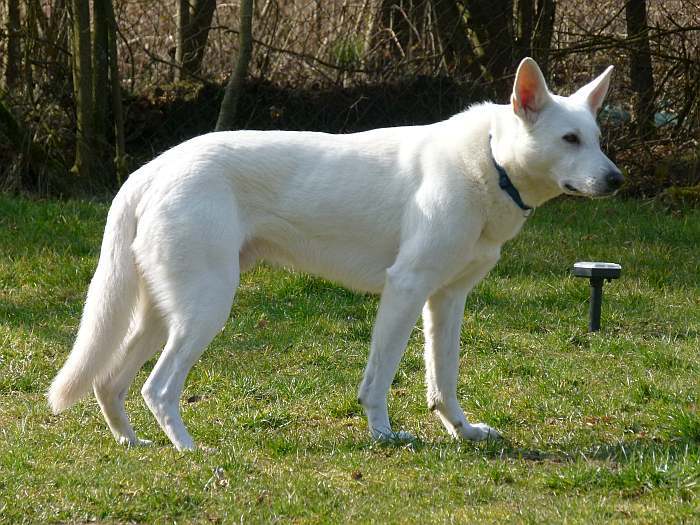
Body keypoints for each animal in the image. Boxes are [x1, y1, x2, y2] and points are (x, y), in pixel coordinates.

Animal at [47, 58, 624, 450]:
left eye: (596, 138)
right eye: (569, 139)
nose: (617, 180)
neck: (491, 161)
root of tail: (151, 170)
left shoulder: (446, 301)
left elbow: (444, 380)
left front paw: (462, 432)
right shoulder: (405, 290)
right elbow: (380, 378)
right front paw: (384, 435)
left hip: (163, 314)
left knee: (109, 382)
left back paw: (135, 444)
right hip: (204, 310)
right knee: (159, 388)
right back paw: (192, 451)